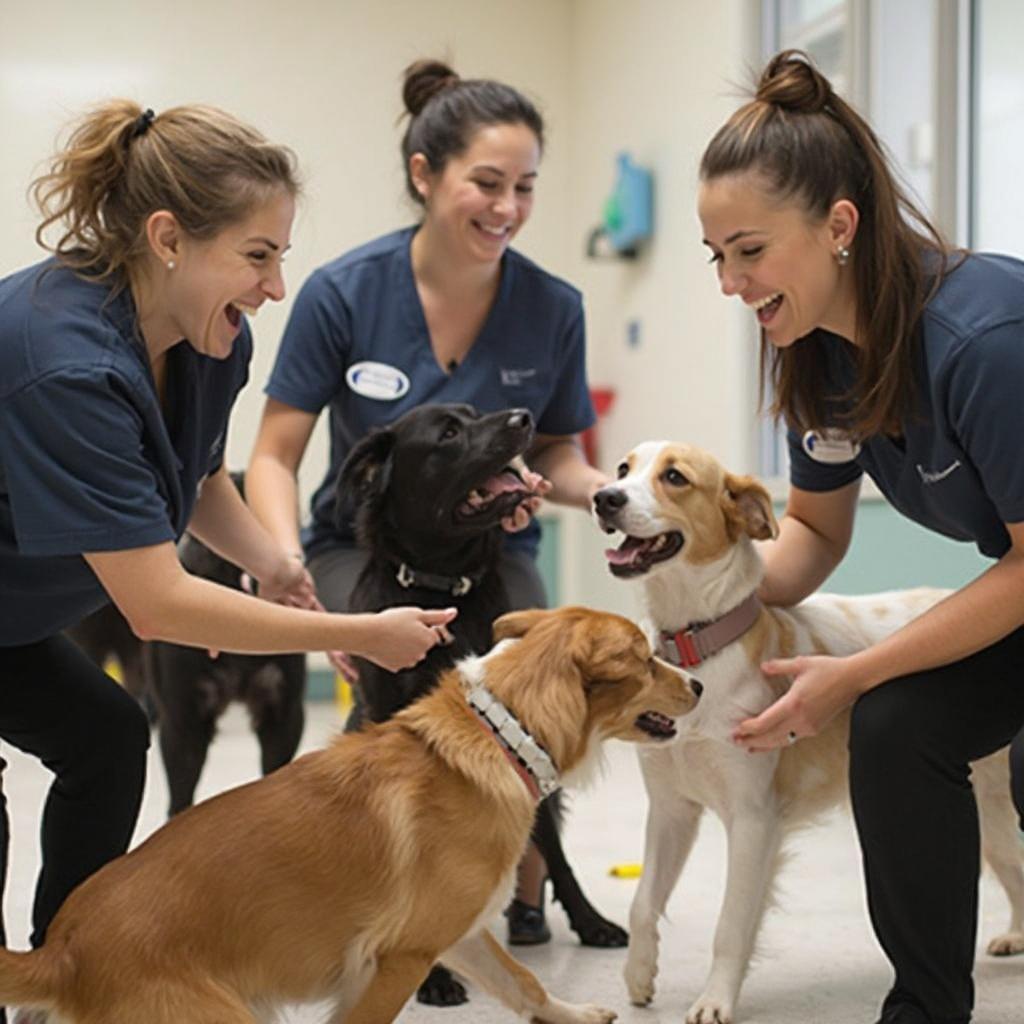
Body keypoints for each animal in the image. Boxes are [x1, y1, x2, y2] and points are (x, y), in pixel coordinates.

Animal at [335, 401, 626, 1007]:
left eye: (472, 413)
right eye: (448, 433)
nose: (523, 417)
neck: (445, 587)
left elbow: (553, 847)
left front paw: (588, 919)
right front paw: (434, 977)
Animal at [593, 442, 1024, 1024]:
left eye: (675, 477)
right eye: (623, 468)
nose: (603, 497)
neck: (699, 649)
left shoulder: (752, 821)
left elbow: (731, 925)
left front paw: (714, 1000)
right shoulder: (670, 809)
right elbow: (643, 904)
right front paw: (639, 976)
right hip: (989, 809)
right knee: (1015, 869)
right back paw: (1016, 935)